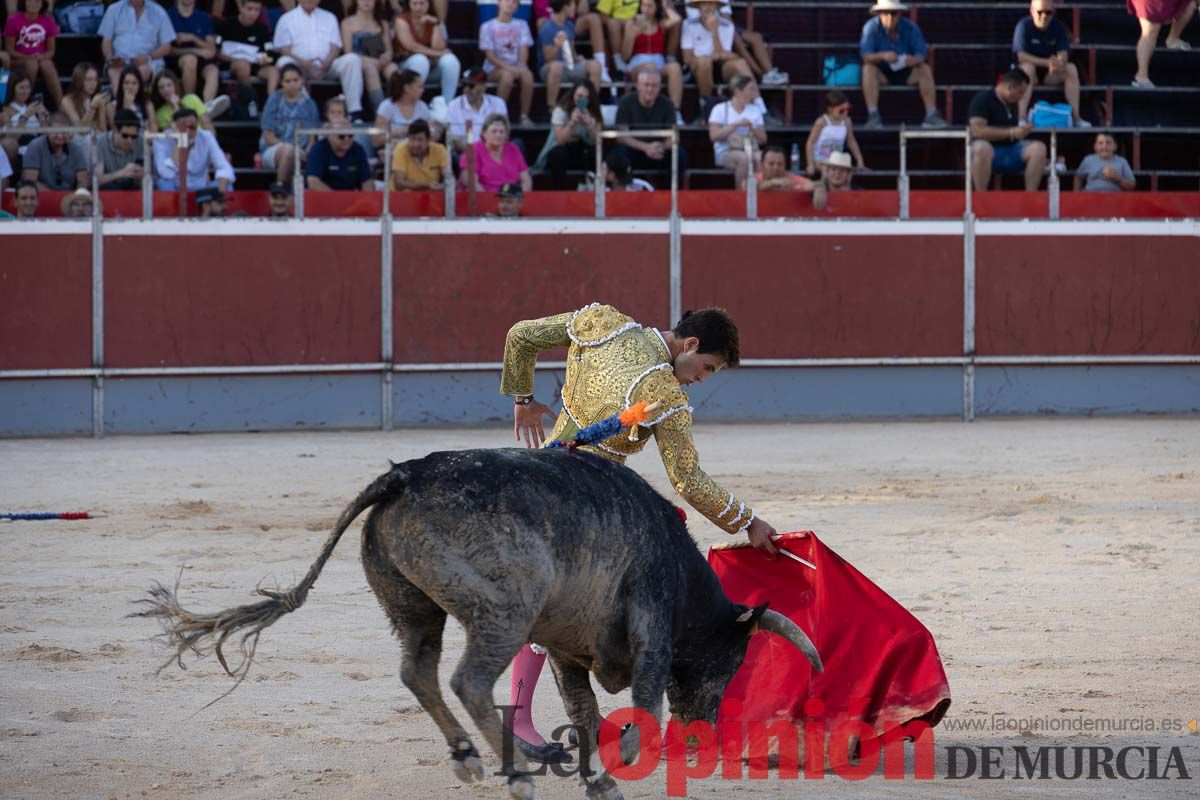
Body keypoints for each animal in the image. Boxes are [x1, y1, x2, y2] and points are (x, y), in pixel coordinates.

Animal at [136, 448, 820, 796]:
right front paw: (624, 756)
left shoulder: (568, 648)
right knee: (467, 680)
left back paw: (469, 756)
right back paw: (514, 772)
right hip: (504, 611)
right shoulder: (650, 620)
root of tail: (400, 477)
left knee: (418, 671)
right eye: (733, 659)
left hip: (414, 608)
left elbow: (581, 709)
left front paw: (598, 778)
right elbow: (641, 699)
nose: (706, 727)